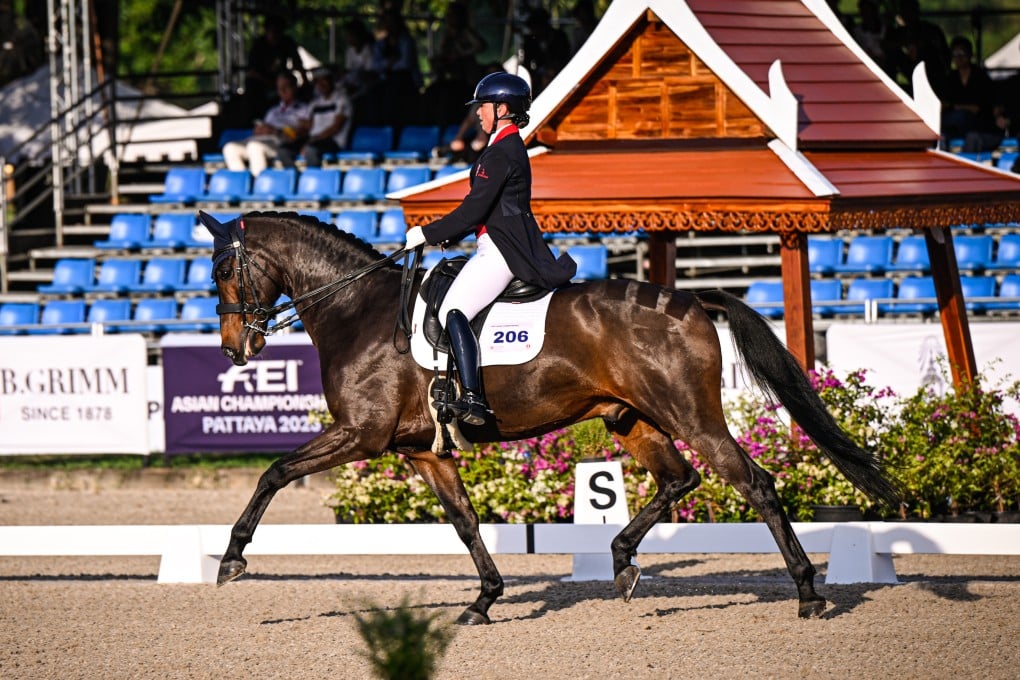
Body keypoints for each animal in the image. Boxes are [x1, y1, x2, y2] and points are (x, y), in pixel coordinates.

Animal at [200, 210, 899, 623]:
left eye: (223, 268)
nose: (235, 350)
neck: (358, 309)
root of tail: (693, 300)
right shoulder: (421, 450)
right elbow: (465, 521)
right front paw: (484, 601)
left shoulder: (360, 436)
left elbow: (272, 473)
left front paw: (232, 559)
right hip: (632, 418)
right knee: (680, 479)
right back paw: (621, 563)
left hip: (691, 416)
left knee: (753, 482)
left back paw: (808, 593)